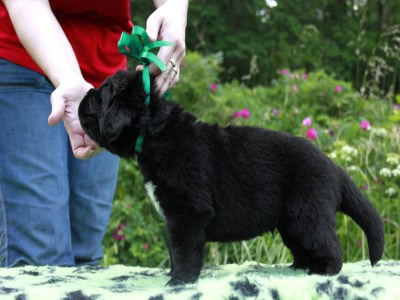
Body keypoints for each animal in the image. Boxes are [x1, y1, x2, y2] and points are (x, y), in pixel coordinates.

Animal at [77, 69, 384, 286]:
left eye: (102, 96)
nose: (81, 97)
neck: (155, 132)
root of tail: (334, 167)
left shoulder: (189, 212)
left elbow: (183, 249)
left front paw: (179, 281)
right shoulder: (177, 217)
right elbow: (175, 249)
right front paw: (174, 275)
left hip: (307, 214)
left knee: (330, 246)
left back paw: (324, 272)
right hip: (291, 223)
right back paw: (299, 267)